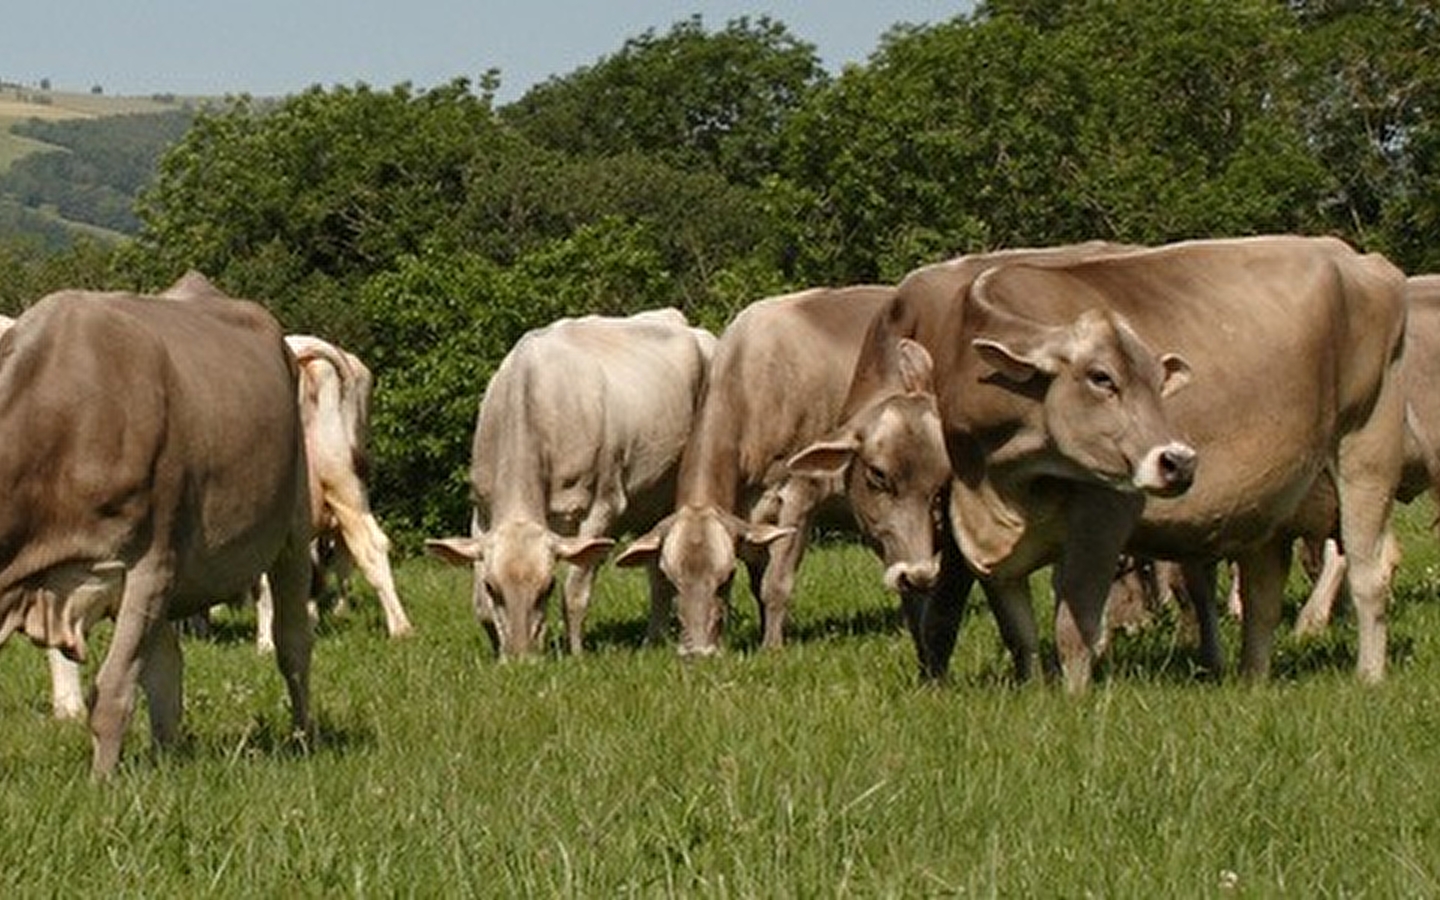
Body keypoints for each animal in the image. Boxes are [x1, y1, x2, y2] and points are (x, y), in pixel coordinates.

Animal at [0, 279, 312, 771]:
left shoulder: (151, 562)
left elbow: (112, 693)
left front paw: (101, 784)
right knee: (168, 664)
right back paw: (166, 755)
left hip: (293, 524)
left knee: (294, 644)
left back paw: (304, 738)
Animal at [426, 308, 720, 653]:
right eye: (492, 586)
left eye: (547, 587)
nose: (521, 658)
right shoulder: (482, 513)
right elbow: (481, 607)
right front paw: (498, 650)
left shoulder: (599, 511)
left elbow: (575, 593)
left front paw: (575, 653)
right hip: (650, 501)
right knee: (654, 566)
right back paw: (654, 639)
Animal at [610, 286, 956, 653]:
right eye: (672, 578)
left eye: (725, 578)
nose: (698, 652)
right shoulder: (751, 518)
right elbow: (758, 583)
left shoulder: (800, 491)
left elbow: (776, 583)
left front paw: (772, 648)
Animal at [840, 233, 1405, 688]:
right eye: (877, 475)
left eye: (939, 478)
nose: (913, 573)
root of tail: (1356, 257)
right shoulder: (981, 536)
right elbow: (1011, 626)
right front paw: (1027, 687)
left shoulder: (1100, 511)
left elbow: (1059, 619)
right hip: (1271, 500)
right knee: (1262, 593)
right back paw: (1250, 679)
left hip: (1367, 450)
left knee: (1367, 568)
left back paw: (1368, 675)